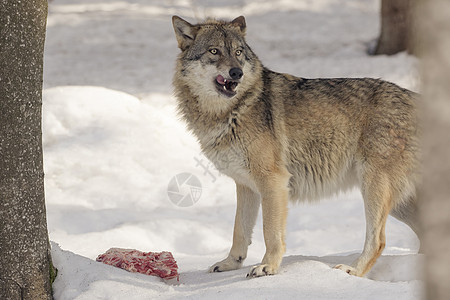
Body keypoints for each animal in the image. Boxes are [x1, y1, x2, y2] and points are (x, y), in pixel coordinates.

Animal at [171, 15, 420, 278]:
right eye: (214, 51)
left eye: (238, 52)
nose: (236, 72)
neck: (232, 112)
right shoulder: (246, 186)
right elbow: (239, 231)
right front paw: (231, 263)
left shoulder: (273, 182)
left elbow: (271, 233)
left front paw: (268, 267)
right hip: (398, 204)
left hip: (374, 190)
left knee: (378, 240)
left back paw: (352, 271)